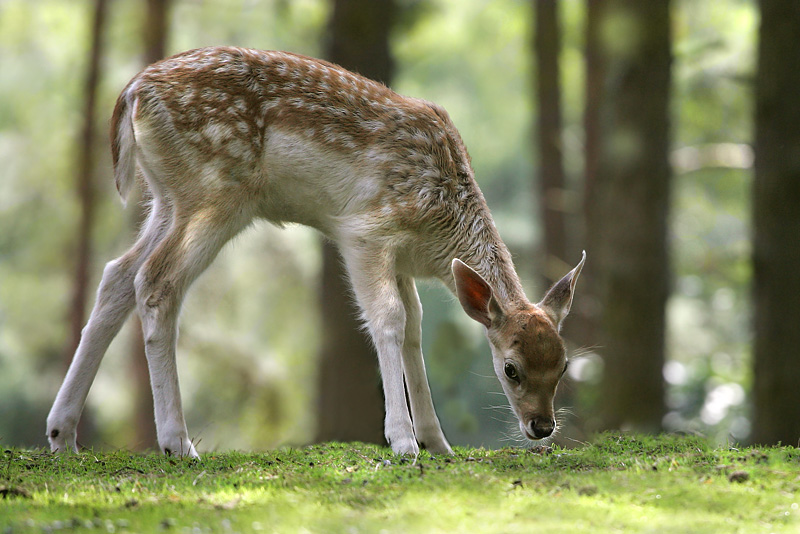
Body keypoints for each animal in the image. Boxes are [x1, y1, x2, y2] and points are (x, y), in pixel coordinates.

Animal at [47, 47, 584, 456]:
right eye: (511, 369)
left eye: (562, 364)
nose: (542, 426)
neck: (439, 227)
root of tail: (133, 92)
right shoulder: (366, 231)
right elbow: (389, 319)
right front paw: (403, 442)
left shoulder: (403, 260)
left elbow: (415, 329)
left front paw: (439, 443)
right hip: (216, 192)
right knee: (156, 282)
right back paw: (178, 444)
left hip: (167, 197)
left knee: (117, 273)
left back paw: (62, 434)